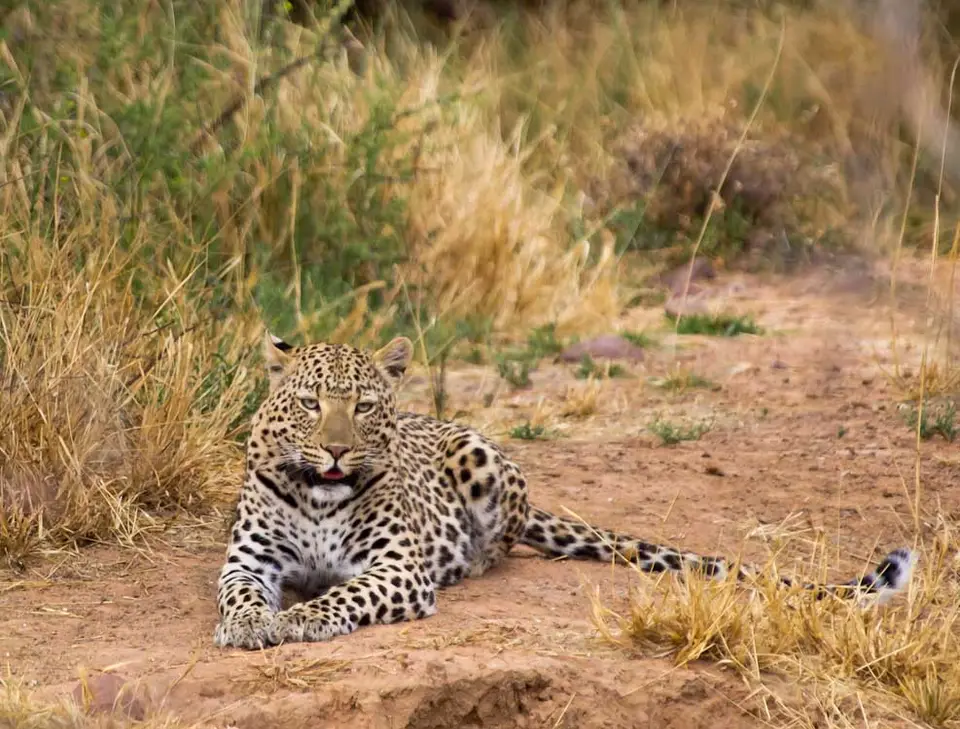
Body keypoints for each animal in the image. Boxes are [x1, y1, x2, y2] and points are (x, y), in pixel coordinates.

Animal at [213, 332, 916, 650]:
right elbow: (238, 595)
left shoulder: (396, 568)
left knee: (499, 545)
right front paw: (248, 625)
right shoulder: (249, 559)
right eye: (310, 403)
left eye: (361, 407)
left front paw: (299, 618)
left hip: (481, 460)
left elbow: (343, 594)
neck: (317, 498)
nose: (336, 451)